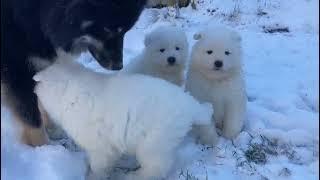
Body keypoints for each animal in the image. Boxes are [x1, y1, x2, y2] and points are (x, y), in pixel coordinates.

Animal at [33, 51, 218, 180]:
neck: (69, 89)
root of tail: (188, 106)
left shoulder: (99, 146)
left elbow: (99, 166)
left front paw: (92, 176)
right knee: (206, 113)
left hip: (153, 144)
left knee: (157, 168)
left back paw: (133, 176)